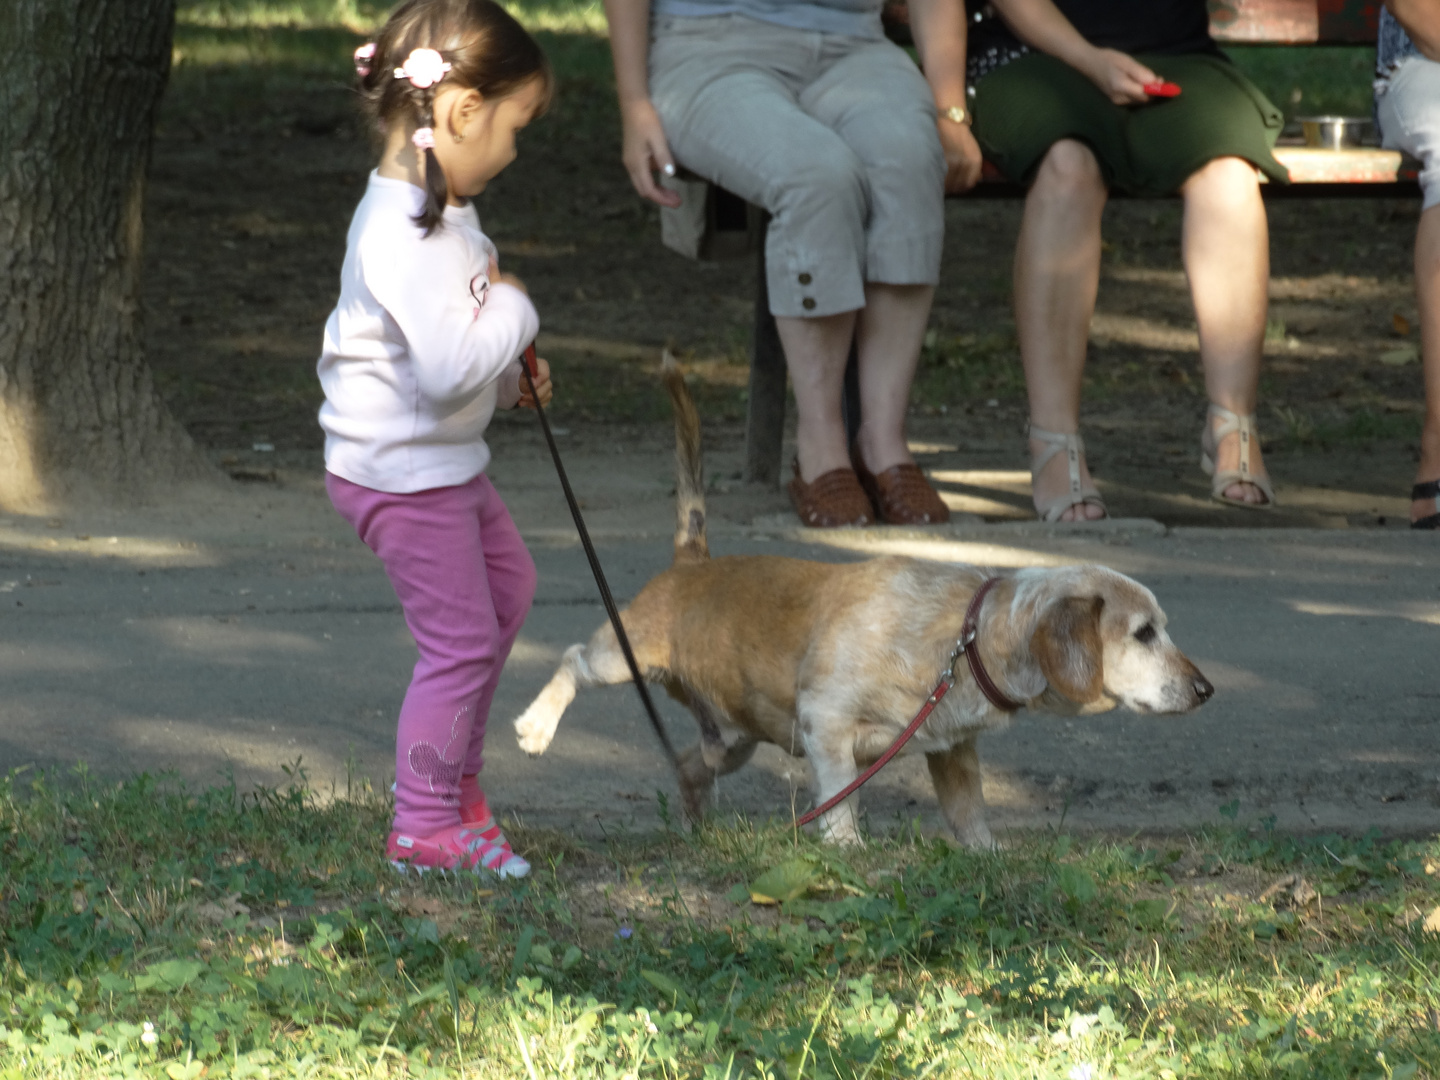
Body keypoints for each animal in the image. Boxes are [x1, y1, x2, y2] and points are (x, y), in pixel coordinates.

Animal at [512, 361, 1209, 846]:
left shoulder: (952, 751)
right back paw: (537, 727)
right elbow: (841, 795)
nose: (1206, 690)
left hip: (731, 741)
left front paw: (986, 857)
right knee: (571, 661)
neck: (965, 635)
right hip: (623, 656)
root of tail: (693, 559)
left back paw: (694, 826)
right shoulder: (826, 725)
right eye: (1144, 633)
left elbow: (970, 818)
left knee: (689, 764)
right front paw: (845, 846)